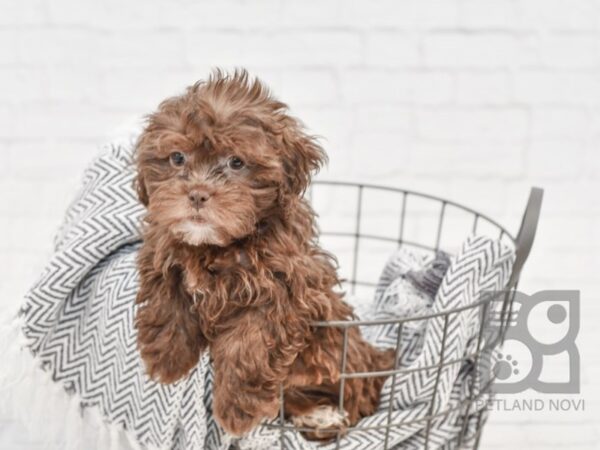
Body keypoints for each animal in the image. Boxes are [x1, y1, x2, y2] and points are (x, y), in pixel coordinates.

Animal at [134, 70, 396, 440]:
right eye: (177, 157)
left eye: (236, 162)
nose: (197, 194)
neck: (219, 245)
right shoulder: (163, 248)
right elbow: (165, 295)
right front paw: (166, 360)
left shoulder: (281, 289)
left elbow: (248, 345)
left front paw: (236, 411)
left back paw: (323, 416)